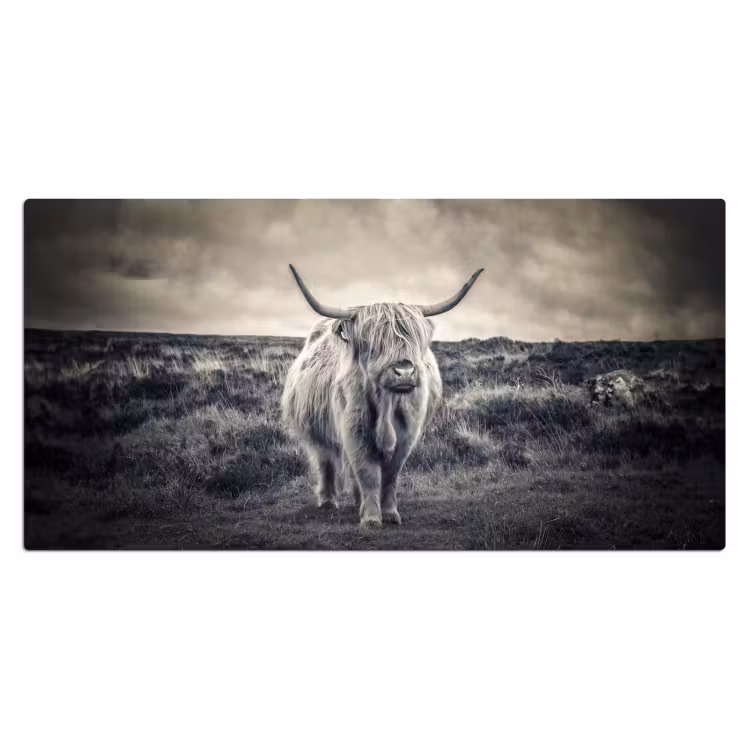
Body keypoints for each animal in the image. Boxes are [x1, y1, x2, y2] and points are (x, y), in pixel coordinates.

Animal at [281, 265, 484, 528]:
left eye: (414, 339)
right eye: (373, 342)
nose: (404, 371)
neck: (387, 404)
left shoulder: (407, 435)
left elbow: (389, 476)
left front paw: (389, 513)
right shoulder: (354, 431)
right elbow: (367, 473)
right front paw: (371, 518)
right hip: (317, 431)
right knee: (326, 461)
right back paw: (328, 501)